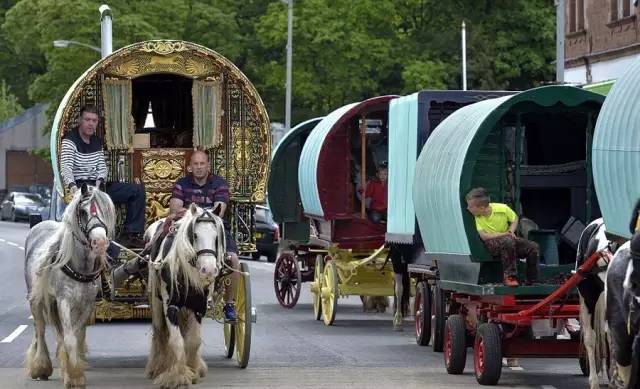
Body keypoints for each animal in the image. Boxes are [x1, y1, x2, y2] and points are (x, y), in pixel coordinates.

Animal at [23, 183, 115, 386]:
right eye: (83, 212)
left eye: (105, 210)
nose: (100, 242)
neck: (78, 265)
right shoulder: (64, 300)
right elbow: (70, 338)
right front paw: (73, 377)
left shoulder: (86, 304)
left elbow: (76, 335)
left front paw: (73, 371)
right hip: (37, 299)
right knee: (40, 329)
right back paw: (40, 367)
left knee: (59, 335)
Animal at [146, 203, 228, 388]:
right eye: (195, 235)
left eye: (216, 237)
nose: (208, 270)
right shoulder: (171, 305)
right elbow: (176, 342)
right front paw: (177, 376)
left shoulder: (199, 307)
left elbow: (193, 341)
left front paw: (193, 370)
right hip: (156, 300)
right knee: (160, 332)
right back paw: (157, 366)